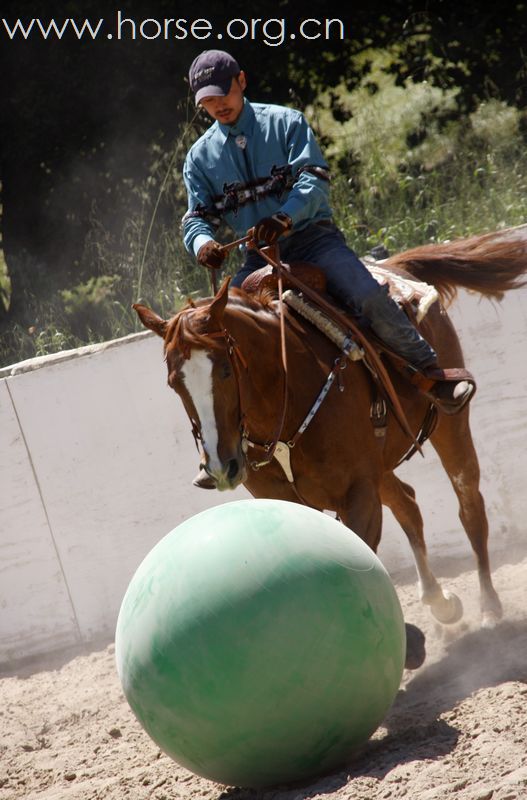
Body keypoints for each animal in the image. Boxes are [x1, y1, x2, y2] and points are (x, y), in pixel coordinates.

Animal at [136, 225, 527, 636]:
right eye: (173, 383)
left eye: (226, 370)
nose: (219, 466)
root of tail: (395, 266)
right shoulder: (293, 499)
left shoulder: (358, 493)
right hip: (380, 467)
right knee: (408, 504)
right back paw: (440, 601)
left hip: (449, 426)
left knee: (469, 505)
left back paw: (489, 606)